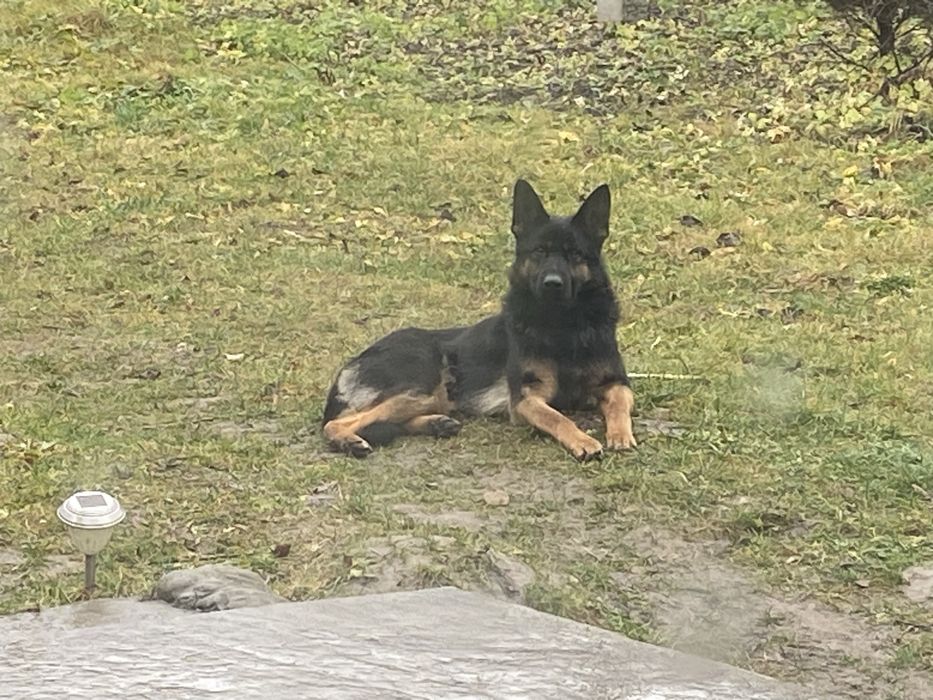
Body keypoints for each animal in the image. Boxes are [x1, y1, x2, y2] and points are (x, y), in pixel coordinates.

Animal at [322, 180, 636, 461]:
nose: (552, 284)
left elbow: (620, 406)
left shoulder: (617, 382)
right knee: (337, 422)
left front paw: (621, 435)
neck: (563, 327)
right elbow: (559, 418)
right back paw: (349, 440)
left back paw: (436, 423)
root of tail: (358, 358)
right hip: (420, 387)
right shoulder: (525, 399)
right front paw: (583, 441)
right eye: (540, 251)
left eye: (574, 254)